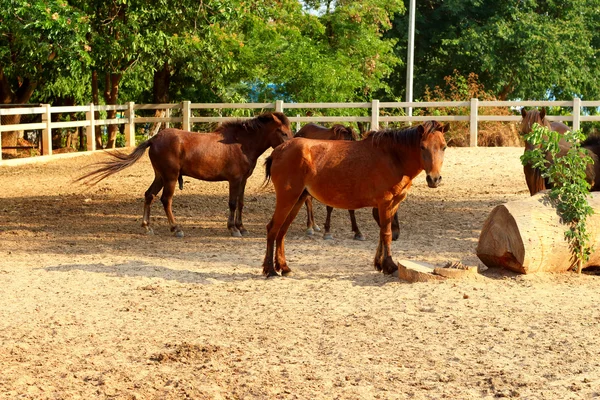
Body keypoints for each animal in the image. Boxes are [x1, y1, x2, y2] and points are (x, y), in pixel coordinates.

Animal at [77, 111, 292, 238]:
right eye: (282, 132)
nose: (290, 144)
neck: (241, 143)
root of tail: (154, 139)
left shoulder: (243, 181)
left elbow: (240, 203)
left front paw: (241, 227)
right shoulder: (234, 180)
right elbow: (232, 203)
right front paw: (232, 228)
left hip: (160, 176)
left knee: (149, 195)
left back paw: (147, 226)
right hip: (170, 177)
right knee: (166, 200)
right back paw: (176, 228)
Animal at [260, 121, 448, 278]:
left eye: (444, 147)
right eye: (422, 147)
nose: (434, 179)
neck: (393, 157)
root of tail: (278, 151)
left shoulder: (392, 204)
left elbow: (382, 233)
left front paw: (380, 264)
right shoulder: (385, 203)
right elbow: (386, 234)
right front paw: (389, 266)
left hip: (298, 199)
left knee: (282, 231)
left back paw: (284, 267)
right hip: (287, 198)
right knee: (272, 229)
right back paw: (270, 270)